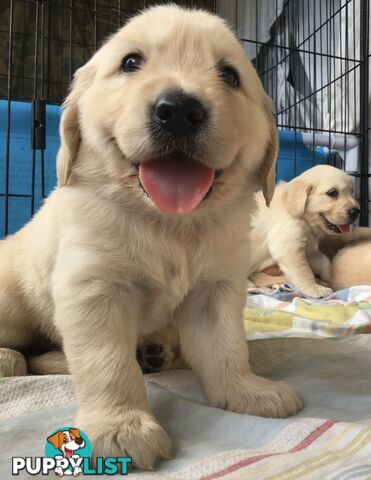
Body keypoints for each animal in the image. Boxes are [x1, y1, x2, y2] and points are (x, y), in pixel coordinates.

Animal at [0, 5, 302, 470]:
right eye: (130, 62)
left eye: (229, 74)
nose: (178, 110)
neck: (168, 224)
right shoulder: (93, 289)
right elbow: (107, 363)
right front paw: (120, 426)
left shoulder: (216, 290)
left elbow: (227, 347)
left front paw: (247, 390)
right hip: (12, 299)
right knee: (30, 352)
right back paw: (11, 358)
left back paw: (154, 352)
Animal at [250, 167, 360, 298]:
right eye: (332, 193)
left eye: (352, 191)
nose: (356, 211)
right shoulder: (288, 242)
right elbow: (304, 271)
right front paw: (314, 288)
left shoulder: (309, 249)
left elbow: (324, 261)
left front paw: (330, 277)